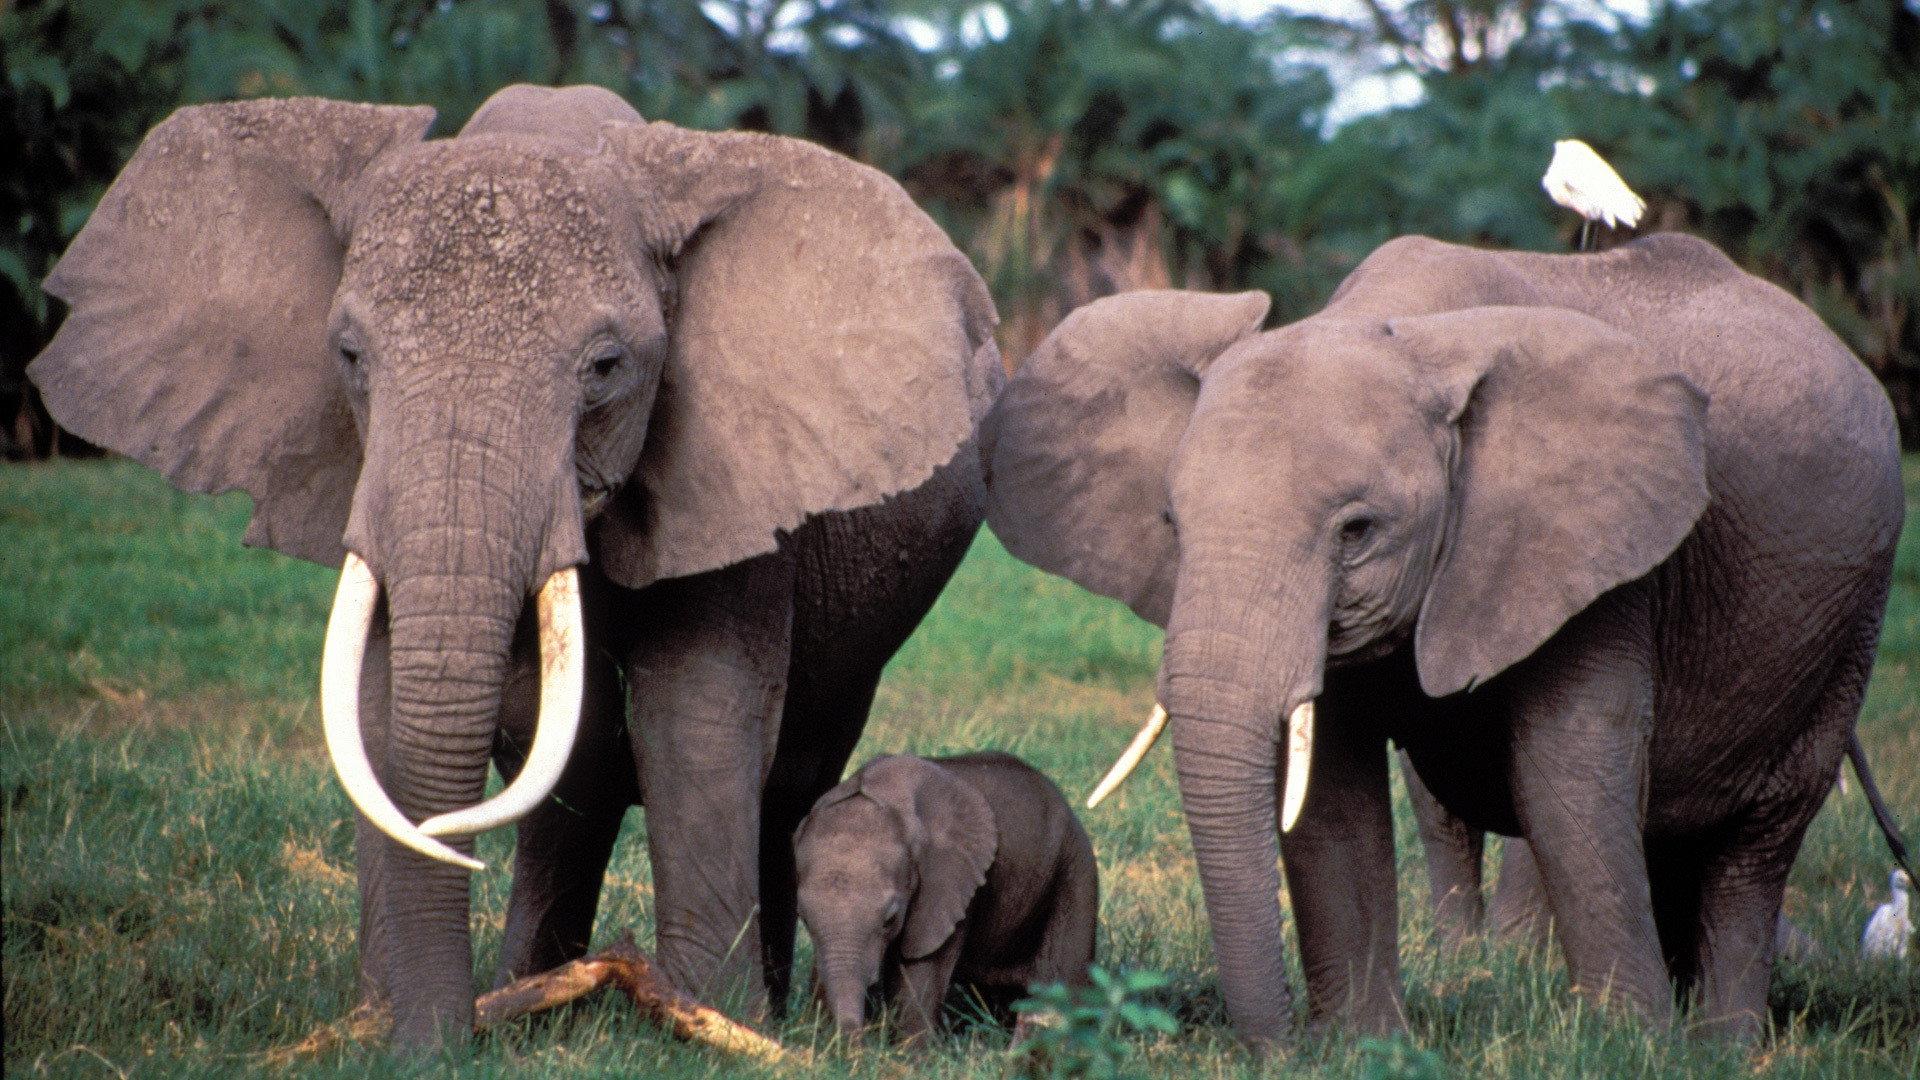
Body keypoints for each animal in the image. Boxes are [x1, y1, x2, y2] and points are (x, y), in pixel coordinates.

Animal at [28, 84, 1002, 1047]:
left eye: (606, 367)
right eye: (349, 356)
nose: (439, 1047)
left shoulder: (735, 488)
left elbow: (696, 719)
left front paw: (712, 1025)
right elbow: (383, 712)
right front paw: (392, 1030)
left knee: (788, 778)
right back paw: (533, 992)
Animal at [793, 752, 1097, 1040]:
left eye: (890, 920)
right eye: (804, 919)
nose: (860, 1036)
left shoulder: (949, 884)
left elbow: (920, 972)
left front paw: (910, 1054)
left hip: (1074, 871)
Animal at [982, 232, 1904, 1046]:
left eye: (1357, 532)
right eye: (1173, 523)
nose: (1276, 1043)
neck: (1403, 331)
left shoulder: (1598, 557)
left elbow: (1567, 775)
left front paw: (1628, 1047)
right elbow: (1332, 794)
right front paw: (1363, 1049)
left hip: (1852, 621)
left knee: (1759, 844)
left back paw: (1723, 1050)